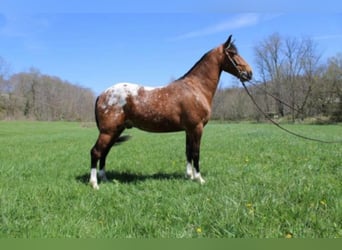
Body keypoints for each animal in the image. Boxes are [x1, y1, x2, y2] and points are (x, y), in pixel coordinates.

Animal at [89, 34, 252, 188]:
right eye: (233, 53)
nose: (249, 73)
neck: (196, 88)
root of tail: (102, 94)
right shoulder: (197, 128)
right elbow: (196, 153)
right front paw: (199, 179)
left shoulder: (189, 129)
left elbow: (188, 152)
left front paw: (189, 176)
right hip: (108, 132)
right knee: (96, 152)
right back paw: (94, 183)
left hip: (115, 131)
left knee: (104, 152)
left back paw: (104, 179)